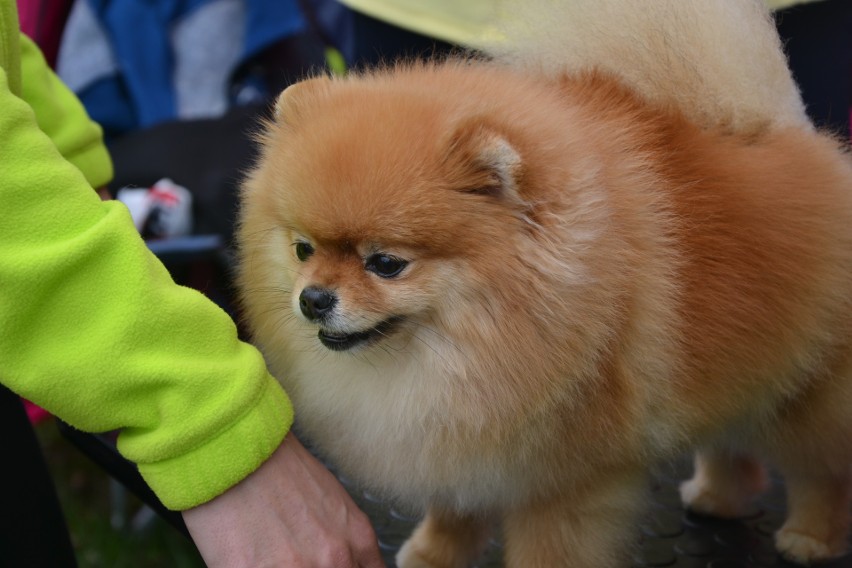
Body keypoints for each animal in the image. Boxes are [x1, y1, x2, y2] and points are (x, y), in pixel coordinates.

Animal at [235, 2, 852, 564]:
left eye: (386, 263)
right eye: (302, 249)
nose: (313, 299)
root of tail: (773, 128)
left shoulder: (566, 481)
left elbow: (552, 545)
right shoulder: (459, 442)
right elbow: (454, 507)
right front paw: (436, 552)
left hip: (806, 394)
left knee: (821, 468)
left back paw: (811, 536)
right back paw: (719, 496)